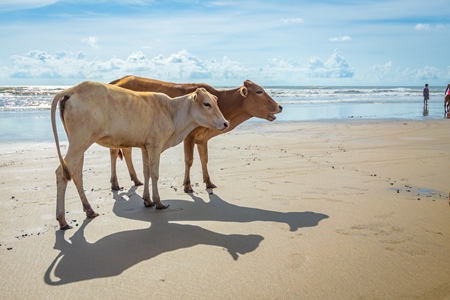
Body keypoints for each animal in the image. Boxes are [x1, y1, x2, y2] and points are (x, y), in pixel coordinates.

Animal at [51, 81, 229, 229]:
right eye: (206, 104)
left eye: (215, 102)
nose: (225, 123)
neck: (172, 112)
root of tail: (71, 90)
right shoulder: (155, 145)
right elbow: (155, 174)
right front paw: (158, 202)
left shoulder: (145, 147)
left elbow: (146, 173)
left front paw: (147, 200)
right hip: (80, 141)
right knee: (61, 172)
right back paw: (62, 220)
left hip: (79, 143)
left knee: (76, 174)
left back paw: (89, 210)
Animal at [108, 75, 282, 192]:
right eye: (259, 91)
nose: (280, 106)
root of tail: (116, 81)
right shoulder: (189, 136)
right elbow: (189, 160)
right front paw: (187, 185)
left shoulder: (202, 139)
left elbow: (204, 159)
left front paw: (208, 182)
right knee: (114, 153)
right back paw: (115, 183)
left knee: (126, 151)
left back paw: (136, 179)